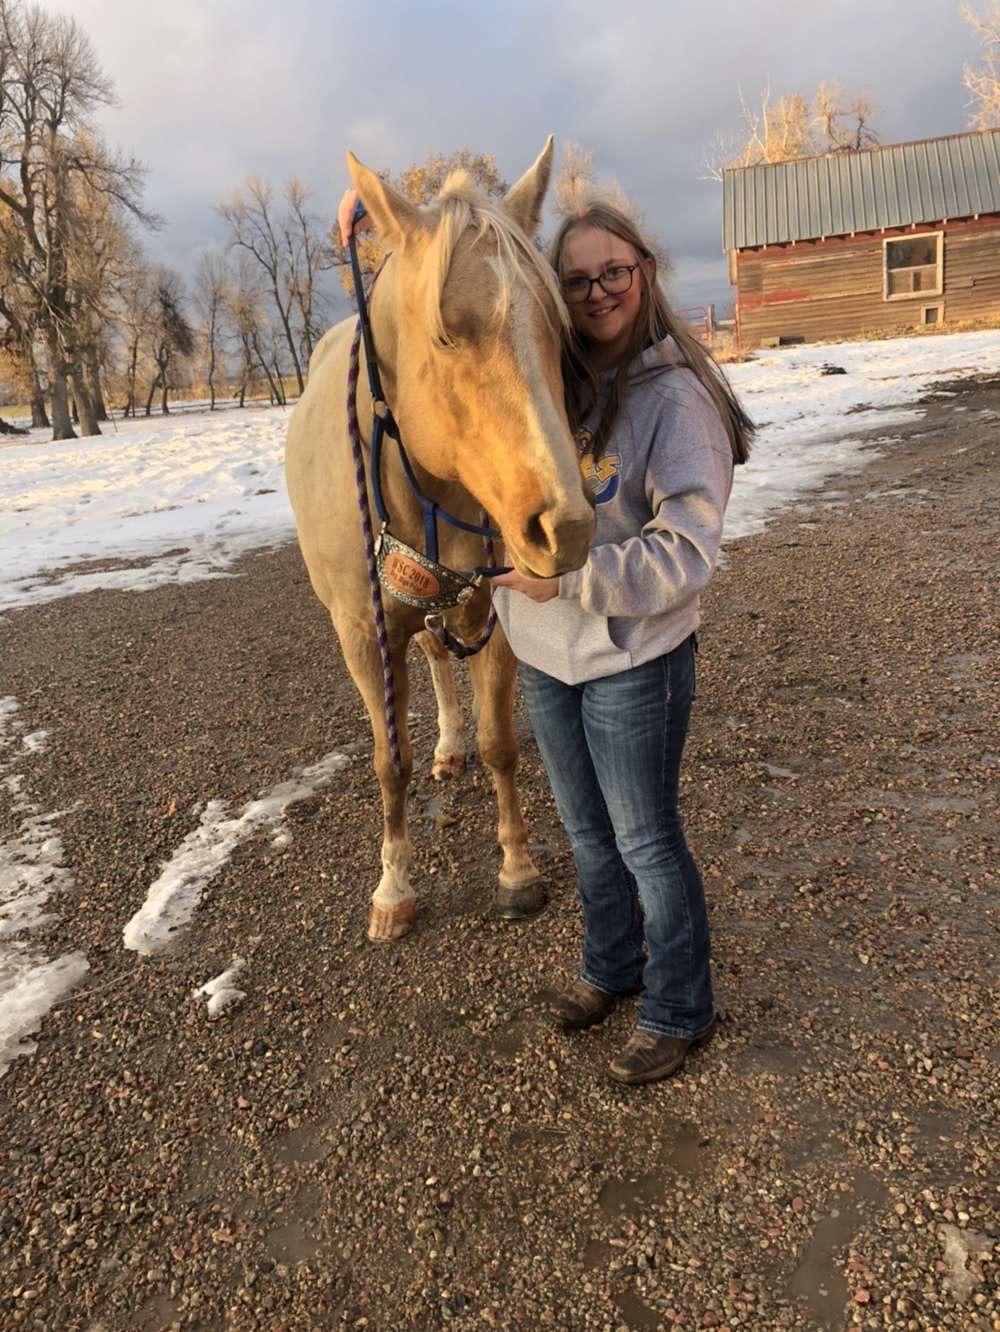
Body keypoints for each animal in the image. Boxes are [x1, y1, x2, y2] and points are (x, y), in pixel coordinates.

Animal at [285, 139, 594, 942]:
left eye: (560, 332)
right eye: (447, 333)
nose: (568, 526)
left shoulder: (493, 615)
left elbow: (500, 743)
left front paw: (516, 870)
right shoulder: (363, 632)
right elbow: (387, 761)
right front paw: (393, 887)